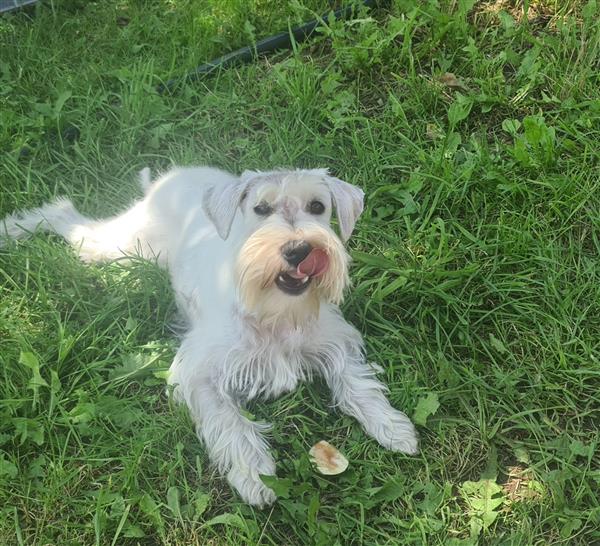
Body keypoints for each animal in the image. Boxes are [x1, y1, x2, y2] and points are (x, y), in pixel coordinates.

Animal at [1, 167, 418, 506]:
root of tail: (165, 180)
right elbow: (231, 424)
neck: (274, 309)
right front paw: (255, 476)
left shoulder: (336, 342)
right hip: (122, 249)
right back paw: (16, 229)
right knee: (66, 217)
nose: (299, 249)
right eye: (261, 209)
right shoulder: (198, 374)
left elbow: (357, 383)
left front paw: (393, 427)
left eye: (318, 206)